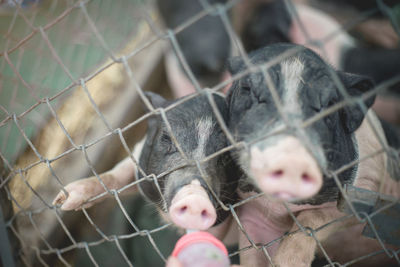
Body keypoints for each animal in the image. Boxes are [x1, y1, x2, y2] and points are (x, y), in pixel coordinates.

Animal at [227, 43, 398, 266]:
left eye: (331, 103)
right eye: (247, 89)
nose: (292, 157)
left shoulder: (367, 187)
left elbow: (311, 219)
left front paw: (288, 262)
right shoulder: (253, 209)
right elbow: (255, 252)